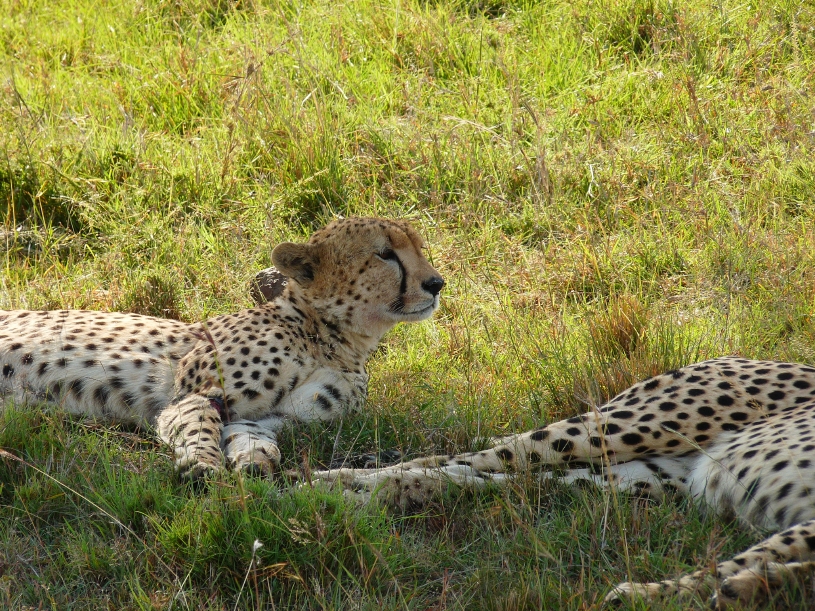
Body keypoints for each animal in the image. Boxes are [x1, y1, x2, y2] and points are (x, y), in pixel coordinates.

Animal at [0, 217, 444, 480]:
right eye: (385, 254)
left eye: (419, 248)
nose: (437, 283)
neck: (335, 338)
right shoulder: (197, 392)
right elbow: (201, 425)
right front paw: (203, 464)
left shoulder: (275, 416)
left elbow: (255, 436)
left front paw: (255, 462)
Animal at [310, 356, 815, 607]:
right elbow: (740, 562)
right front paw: (646, 595)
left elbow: (772, 565)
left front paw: (749, 587)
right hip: (627, 429)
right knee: (481, 456)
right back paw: (325, 485)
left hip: (650, 479)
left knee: (500, 479)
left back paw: (367, 494)